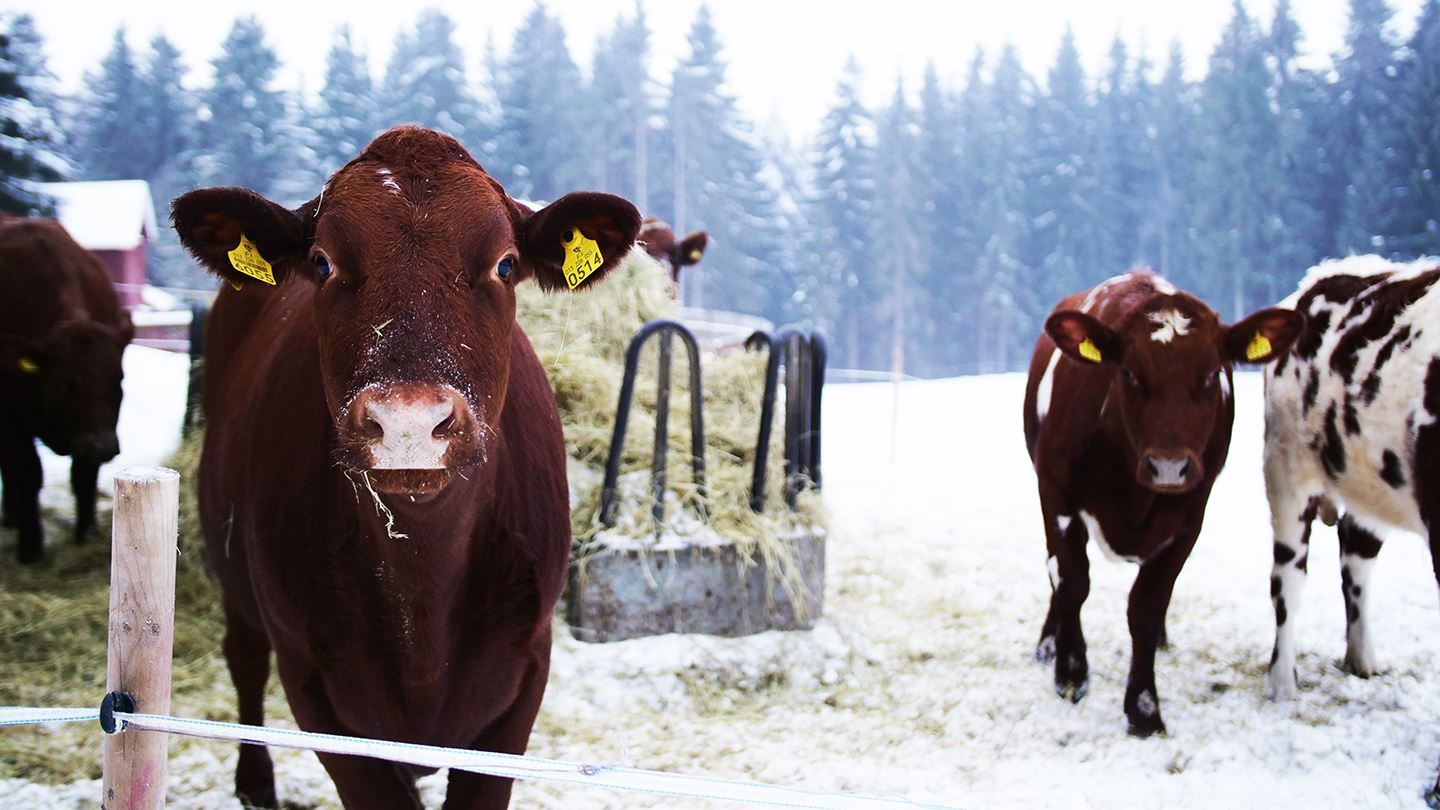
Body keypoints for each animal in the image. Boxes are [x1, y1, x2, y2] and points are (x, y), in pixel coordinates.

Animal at [0, 216, 135, 562]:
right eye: (62, 383)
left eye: (119, 378)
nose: (103, 446)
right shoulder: (12, 416)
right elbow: (28, 472)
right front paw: (31, 545)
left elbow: (83, 476)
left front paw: (85, 532)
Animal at [171, 123, 639, 801]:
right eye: (322, 262)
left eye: (505, 263)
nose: (410, 423)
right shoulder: (313, 686)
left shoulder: (524, 675)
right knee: (244, 659)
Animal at [1019, 269, 1301, 732]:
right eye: (1129, 373)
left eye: (1211, 374)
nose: (1168, 466)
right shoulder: (1055, 491)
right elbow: (1071, 579)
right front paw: (1071, 671)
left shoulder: (1189, 517)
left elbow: (1147, 606)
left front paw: (1144, 707)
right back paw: (1048, 643)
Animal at [1267, 253, 1440, 706]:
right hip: (1286, 468)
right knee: (1288, 577)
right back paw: (1282, 682)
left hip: (1368, 481)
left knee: (1356, 554)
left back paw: (1361, 657)